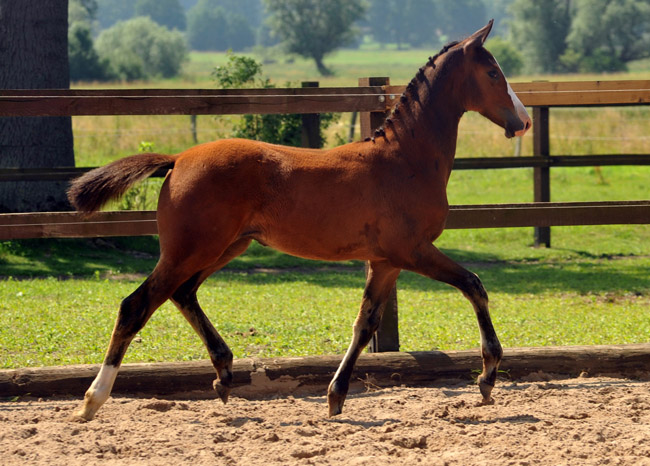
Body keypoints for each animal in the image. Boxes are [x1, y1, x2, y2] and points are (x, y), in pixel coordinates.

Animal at [69, 21, 528, 420]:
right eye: (492, 72)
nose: (522, 121)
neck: (405, 161)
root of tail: (178, 158)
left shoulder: (385, 262)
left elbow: (366, 323)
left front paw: (336, 396)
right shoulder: (412, 251)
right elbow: (474, 284)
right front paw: (487, 376)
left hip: (225, 246)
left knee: (182, 294)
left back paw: (224, 373)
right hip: (191, 249)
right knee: (137, 305)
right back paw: (93, 400)